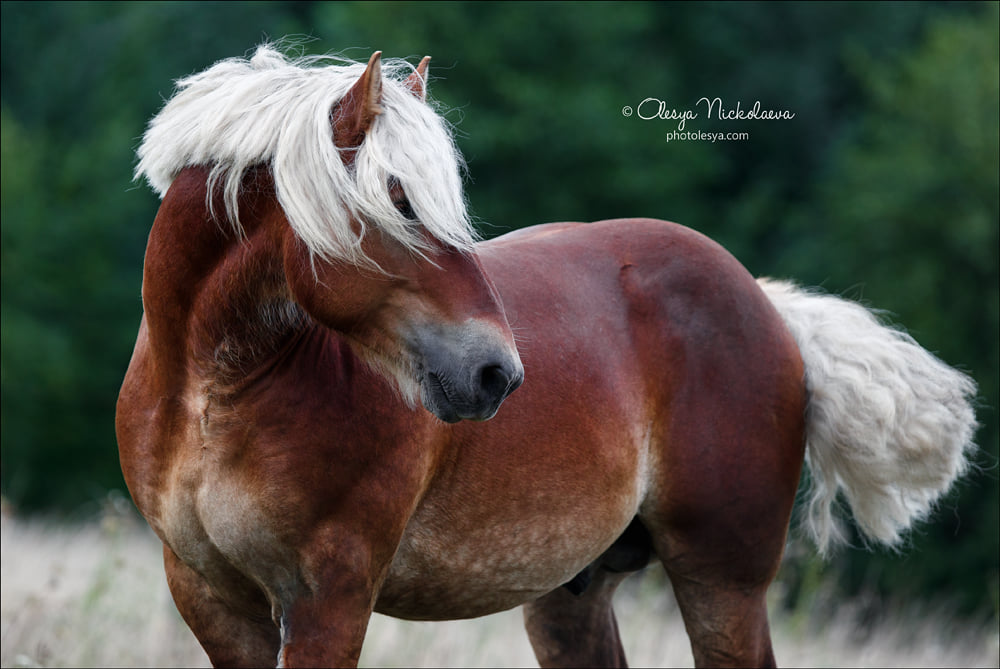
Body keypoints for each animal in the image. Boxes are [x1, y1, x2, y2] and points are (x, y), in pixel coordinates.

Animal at [117, 47, 976, 668]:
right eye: (397, 200)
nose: (496, 373)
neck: (212, 394)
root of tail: (768, 306)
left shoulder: (330, 597)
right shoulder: (214, 601)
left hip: (721, 582)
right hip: (570, 598)